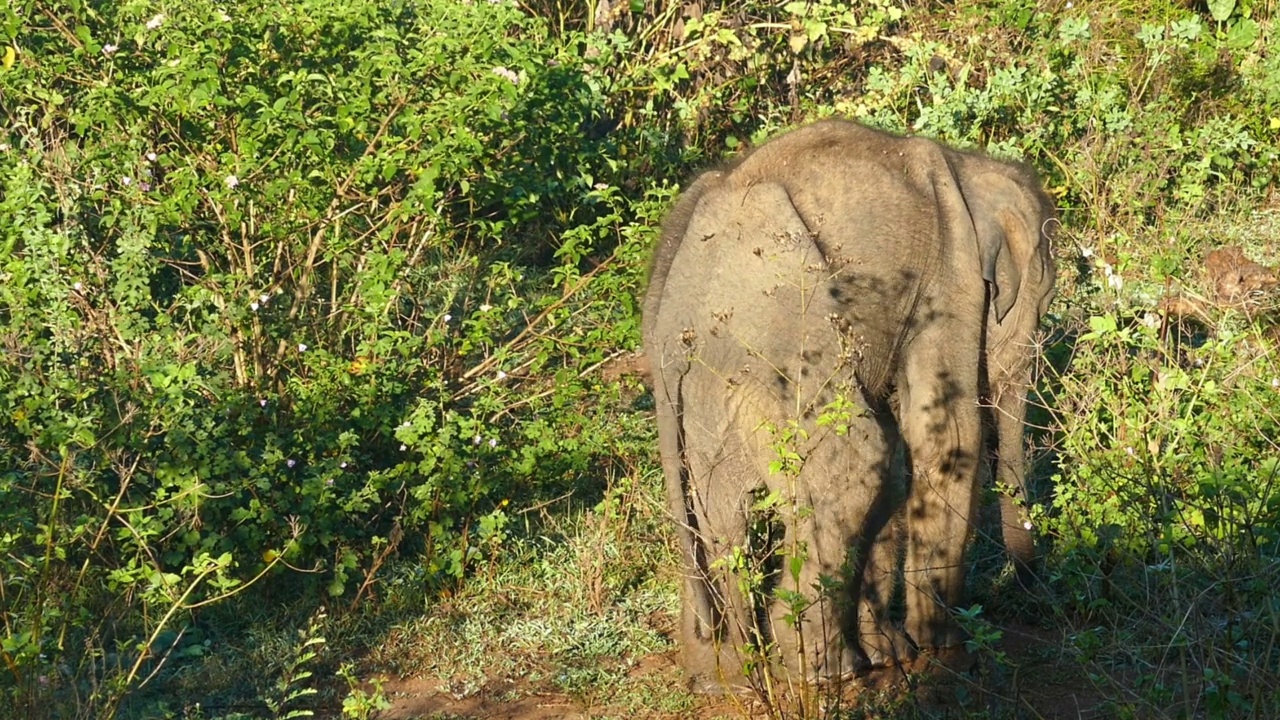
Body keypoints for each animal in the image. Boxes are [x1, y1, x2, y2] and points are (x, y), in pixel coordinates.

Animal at [645, 119, 1054, 691]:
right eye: (1044, 303)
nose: (1030, 587)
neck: (971, 166)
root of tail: (667, 328)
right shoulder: (950, 277)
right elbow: (944, 435)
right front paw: (946, 651)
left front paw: (892, 652)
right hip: (783, 344)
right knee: (856, 462)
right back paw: (821, 671)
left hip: (700, 398)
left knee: (720, 517)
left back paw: (726, 674)